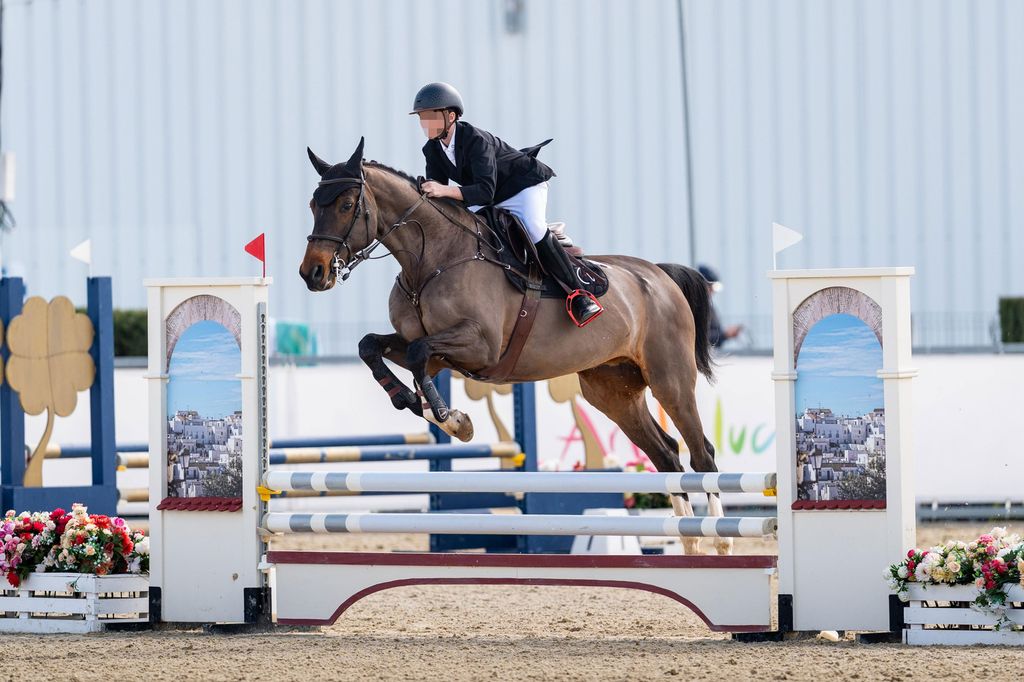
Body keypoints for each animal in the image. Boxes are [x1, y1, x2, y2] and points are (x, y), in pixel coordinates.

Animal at [299, 138, 733, 552]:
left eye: (347, 204)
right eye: (312, 204)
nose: (312, 274)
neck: (430, 258)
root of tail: (660, 275)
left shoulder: (479, 346)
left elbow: (421, 355)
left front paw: (452, 419)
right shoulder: (428, 351)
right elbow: (371, 347)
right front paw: (411, 401)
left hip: (669, 379)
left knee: (701, 453)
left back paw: (722, 540)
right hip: (612, 390)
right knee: (666, 454)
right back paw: (690, 541)